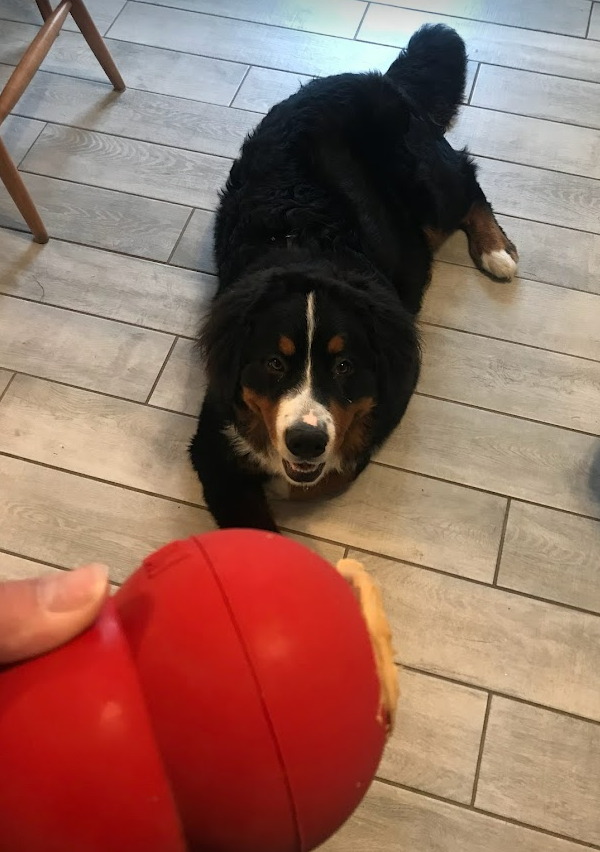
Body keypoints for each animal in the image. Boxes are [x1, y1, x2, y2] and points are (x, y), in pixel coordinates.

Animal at [190, 23, 516, 528]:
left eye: (345, 365)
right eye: (274, 362)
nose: (306, 441)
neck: (308, 249)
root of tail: (378, 79)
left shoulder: (392, 393)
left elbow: (337, 469)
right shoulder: (213, 437)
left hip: (430, 190)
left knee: (469, 182)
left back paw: (496, 251)